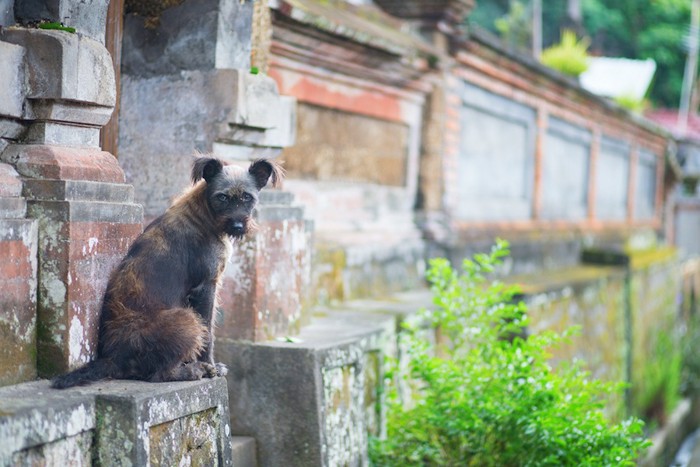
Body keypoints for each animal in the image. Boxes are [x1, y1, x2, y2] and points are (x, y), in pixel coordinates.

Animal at [52, 155, 282, 390]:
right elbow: (208, 332)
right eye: (222, 197)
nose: (237, 226)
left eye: (247, 197)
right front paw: (210, 366)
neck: (204, 215)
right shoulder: (206, 287)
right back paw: (192, 370)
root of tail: (112, 358)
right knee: (159, 374)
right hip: (186, 318)